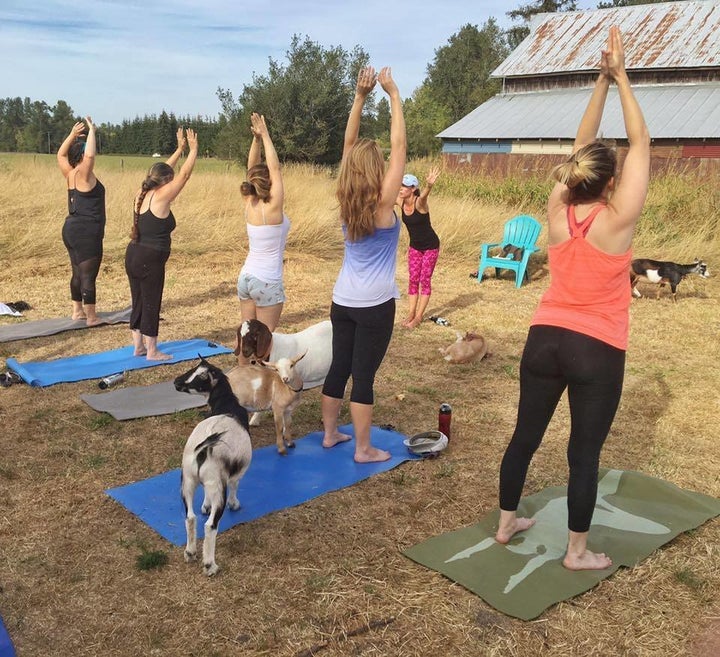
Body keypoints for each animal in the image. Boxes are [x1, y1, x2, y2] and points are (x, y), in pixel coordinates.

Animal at [174, 356, 253, 576]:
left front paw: (206, 506)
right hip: (218, 485)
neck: (227, 407)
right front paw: (235, 504)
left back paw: (190, 552)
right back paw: (210, 565)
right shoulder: (235, 474)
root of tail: (203, 448)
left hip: (188, 480)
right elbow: (235, 484)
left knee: (190, 517)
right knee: (210, 526)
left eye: (198, 374)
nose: (176, 382)